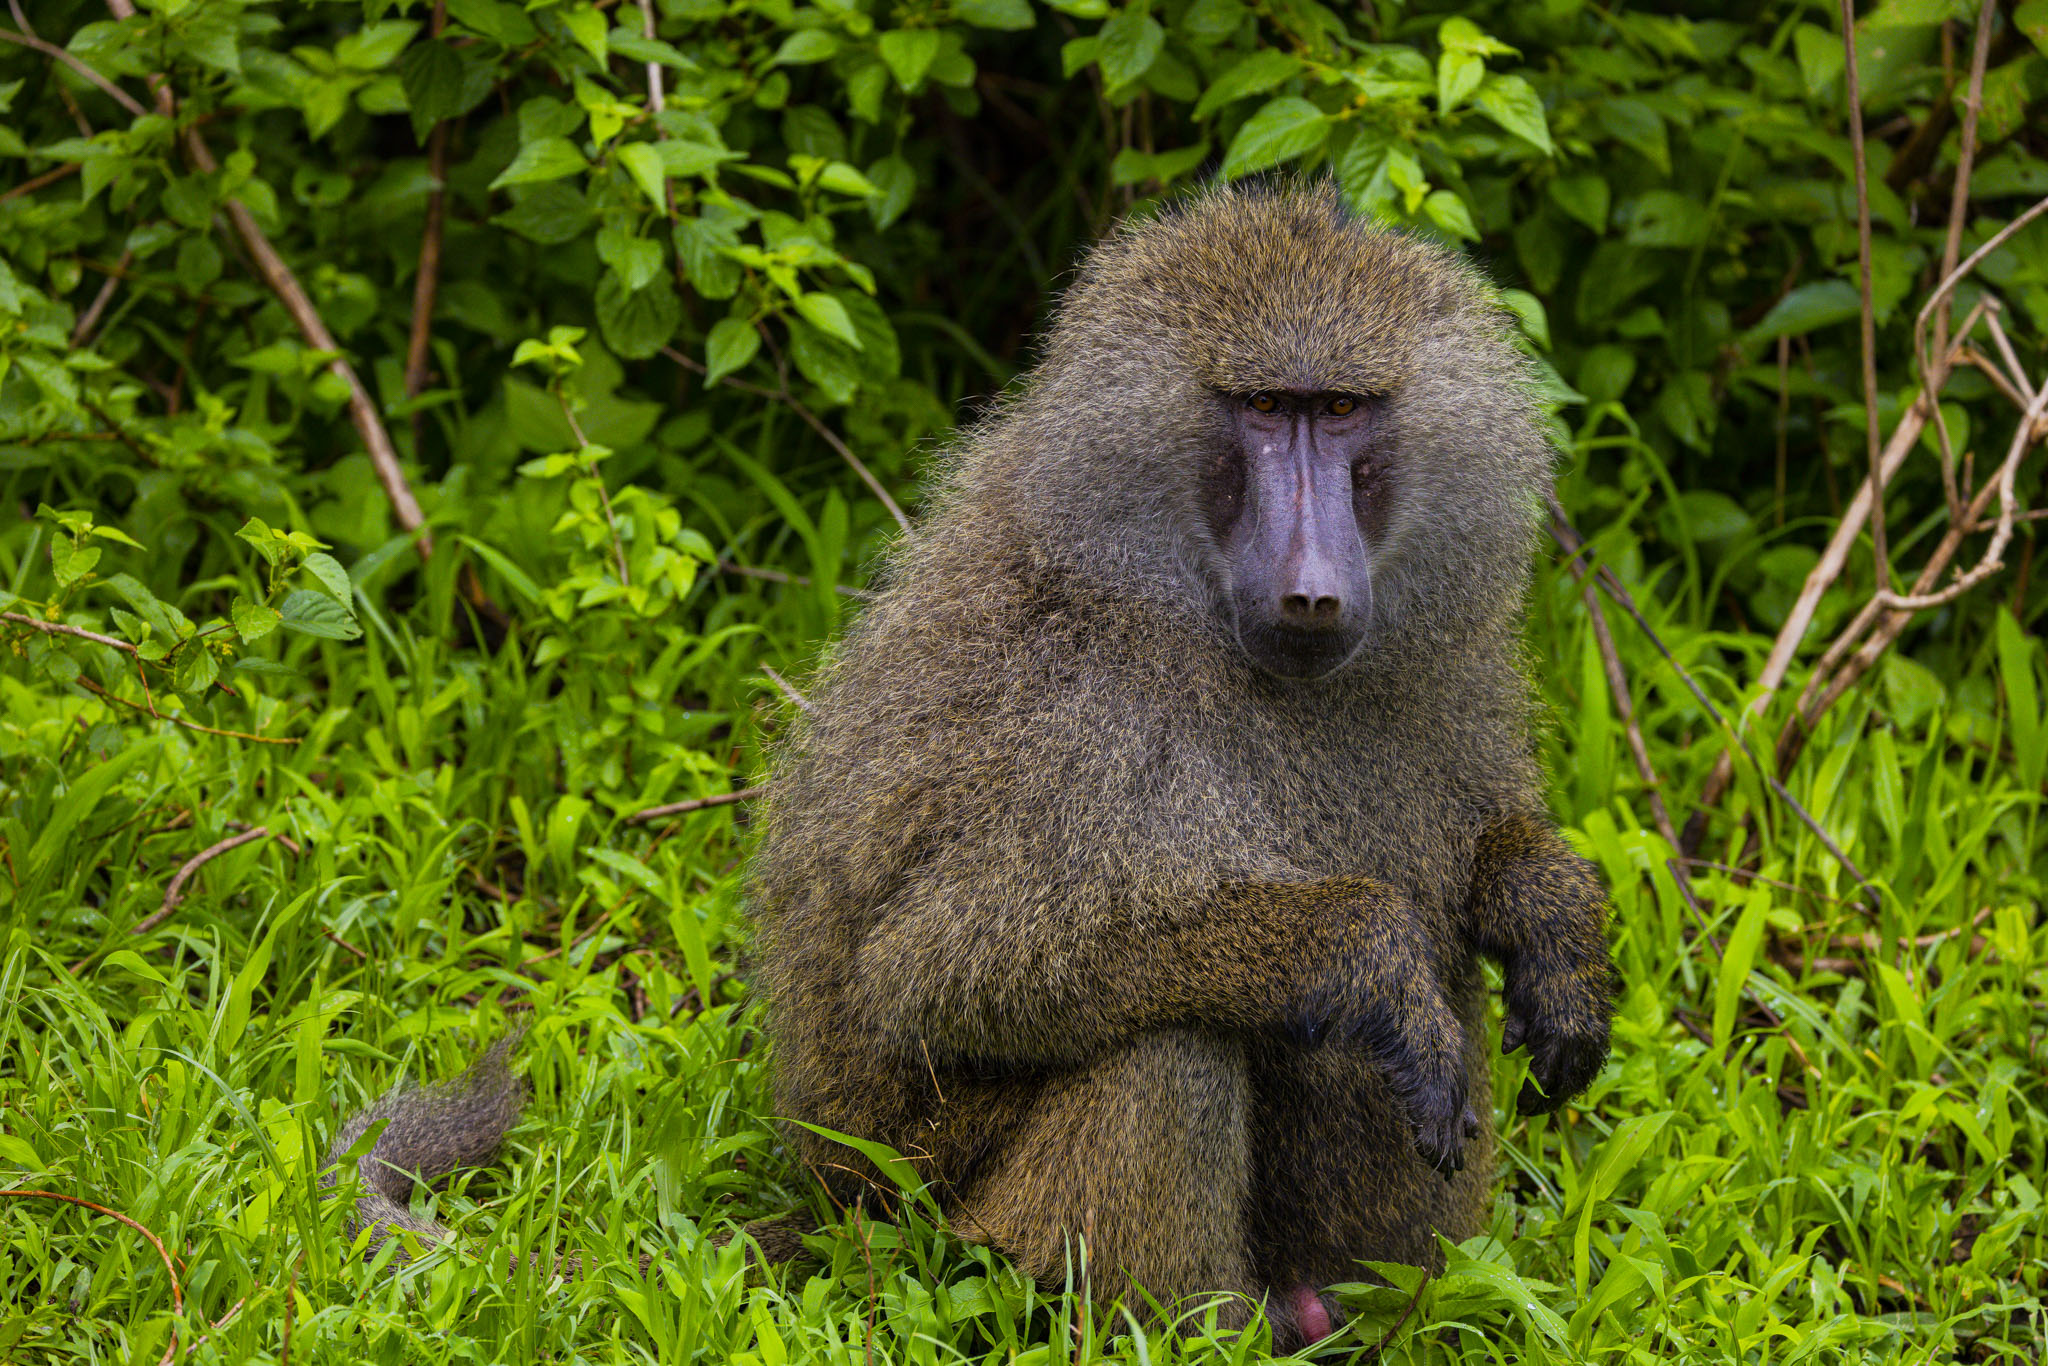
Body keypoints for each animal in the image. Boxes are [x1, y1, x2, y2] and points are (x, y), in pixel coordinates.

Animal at [750, 180, 1615, 1351]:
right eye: (1264, 407)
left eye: (1340, 410)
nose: (1312, 591)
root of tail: (836, 1204)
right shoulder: (1072, 706)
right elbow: (937, 972)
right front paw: (1360, 952)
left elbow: (1476, 853)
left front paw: (1549, 915)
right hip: (945, 1229)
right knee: (1169, 1048)